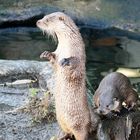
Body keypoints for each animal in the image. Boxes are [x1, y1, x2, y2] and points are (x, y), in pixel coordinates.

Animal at [36, 12, 93, 140]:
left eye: (47, 20)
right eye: (43, 16)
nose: (37, 22)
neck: (66, 47)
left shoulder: (79, 54)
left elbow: (75, 62)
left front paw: (65, 61)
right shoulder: (58, 52)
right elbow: (54, 60)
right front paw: (46, 54)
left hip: (80, 123)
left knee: (81, 133)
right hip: (61, 119)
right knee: (68, 131)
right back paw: (62, 136)